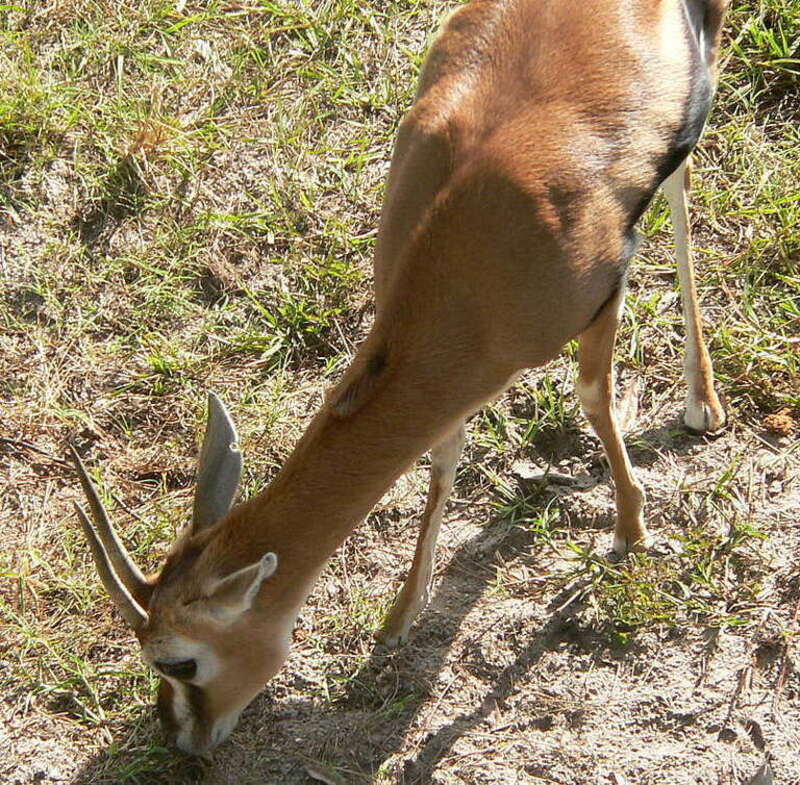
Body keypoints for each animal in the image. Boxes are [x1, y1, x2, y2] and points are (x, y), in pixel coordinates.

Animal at [70, 0, 729, 757]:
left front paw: (629, 530)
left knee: (681, 191)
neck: (471, 246)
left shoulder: (601, 298)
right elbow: (443, 453)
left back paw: (703, 404)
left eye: (177, 660)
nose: (182, 739)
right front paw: (399, 616)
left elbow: (594, 398)